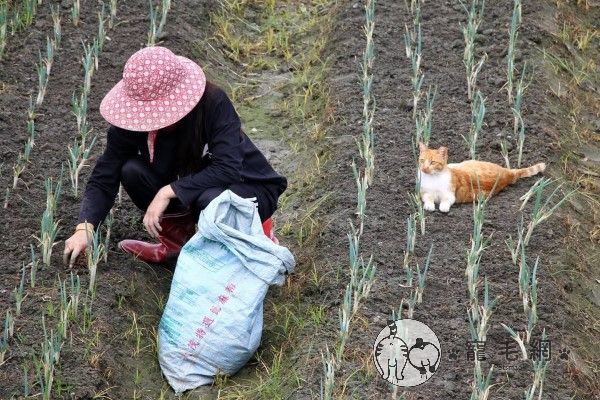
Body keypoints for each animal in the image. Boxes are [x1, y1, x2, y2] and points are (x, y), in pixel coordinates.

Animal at [420, 143, 548, 212]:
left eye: (432, 162)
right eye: (421, 160)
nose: (424, 168)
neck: (433, 178)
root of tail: (507, 173)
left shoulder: (450, 195)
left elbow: (445, 201)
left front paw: (443, 207)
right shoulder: (424, 192)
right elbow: (428, 198)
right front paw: (430, 206)